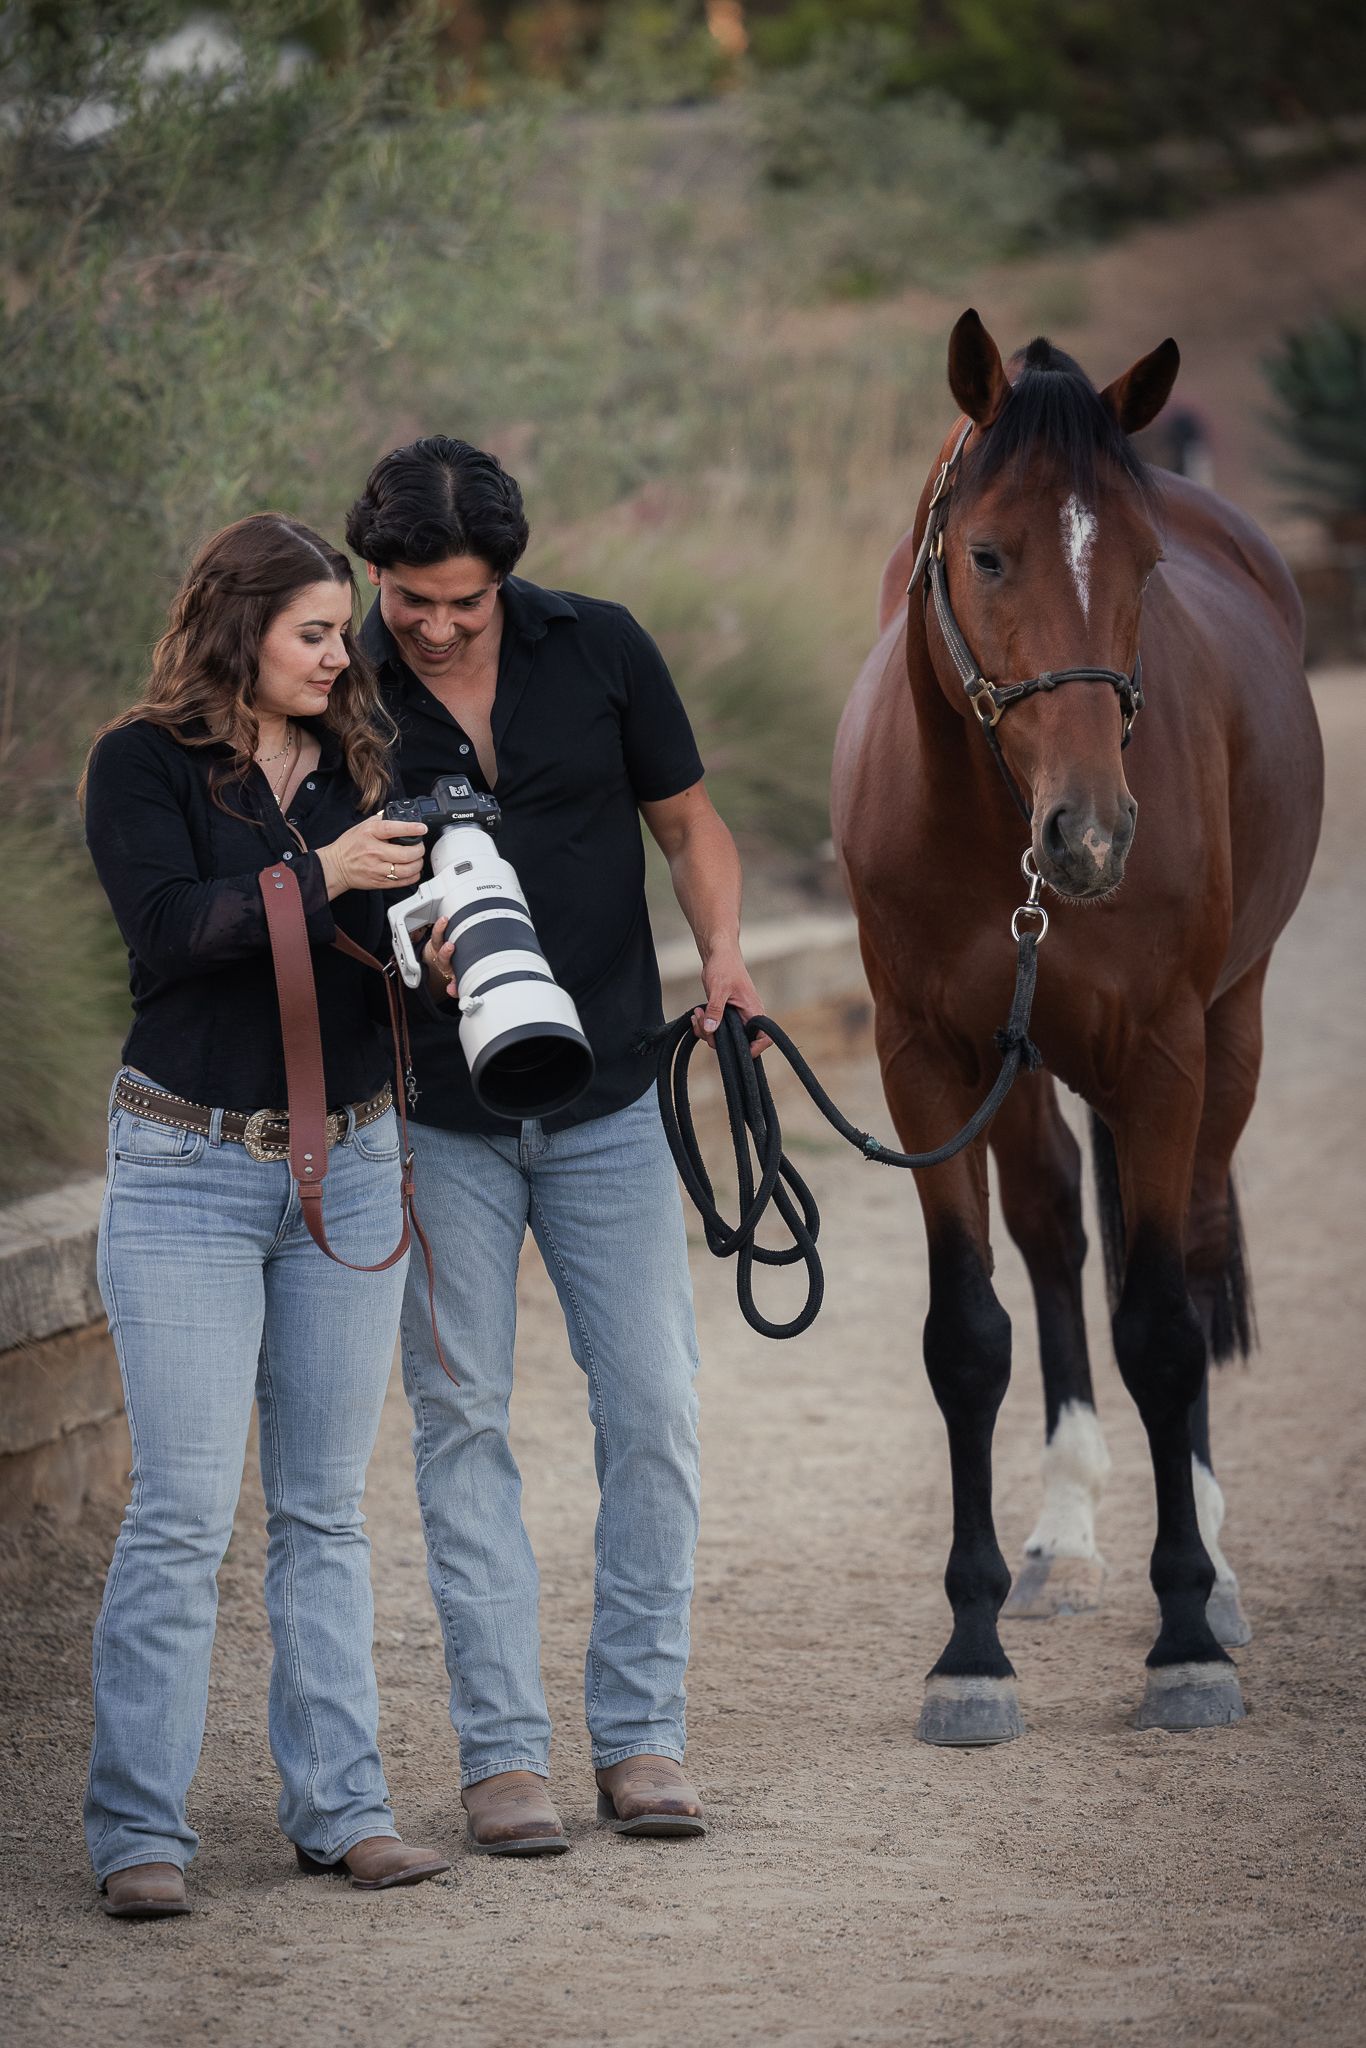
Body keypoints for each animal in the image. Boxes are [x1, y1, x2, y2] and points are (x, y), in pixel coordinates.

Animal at [831, 311, 1323, 1741]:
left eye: (1146, 567)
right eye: (988, 550)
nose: (1093, 836)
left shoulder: (1161, 1051)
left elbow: (1161, 1325)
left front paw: (1185, 1636)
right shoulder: (925, 1064)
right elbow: (967, 1336)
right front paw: (970, 1648)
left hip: (1228, 1034)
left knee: (1195, 1257)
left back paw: (1210, 1564)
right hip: (1029, 1064)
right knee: (1054, 1233)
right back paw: (1066, 1538)